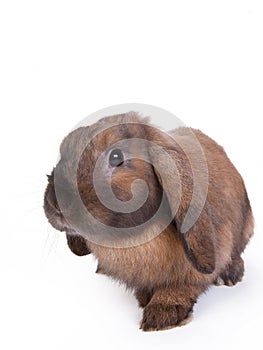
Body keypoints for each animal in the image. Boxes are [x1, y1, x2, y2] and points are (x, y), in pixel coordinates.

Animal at [43, 111, 256, 330]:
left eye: (116, 156)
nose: (56, 204)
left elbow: (182, 286)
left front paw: (162, 314)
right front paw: (144, 296)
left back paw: (230, 275)